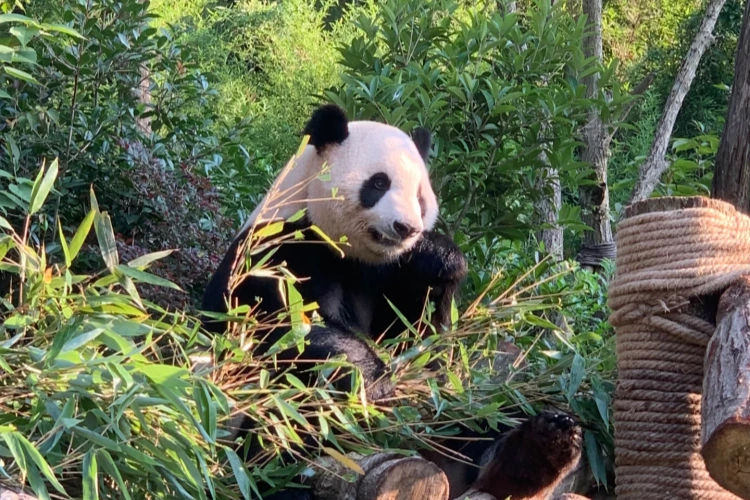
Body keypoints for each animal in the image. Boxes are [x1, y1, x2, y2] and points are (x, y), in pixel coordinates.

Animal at [201, 104, 583, 500]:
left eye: (420, 197)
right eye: (379, 184)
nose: (406, 228)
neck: (353, 253)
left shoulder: (390, 274)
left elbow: (424, 342)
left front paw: (439, 258)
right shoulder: (276, 250)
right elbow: (286, 328)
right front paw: (376, 383)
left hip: (463, 414)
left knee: (481, 416)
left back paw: (539, 449)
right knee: (284, 423)